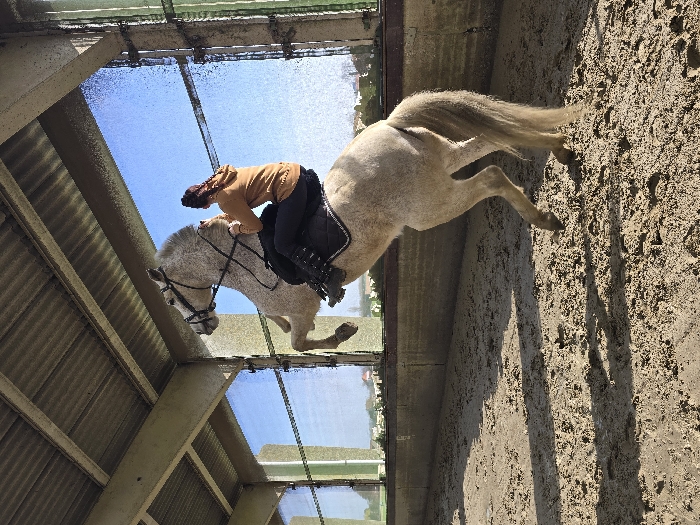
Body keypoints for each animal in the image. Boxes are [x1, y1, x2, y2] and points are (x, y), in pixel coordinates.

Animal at [148, 90, 585, 351]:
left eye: (169, 298)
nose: (204, 329)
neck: (246, 265)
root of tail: (389, 125)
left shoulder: (303, 310)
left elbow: (299, 345)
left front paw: (345, 332)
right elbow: (294, 339)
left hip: (430, 206)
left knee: (492, 175)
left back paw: (545, 219)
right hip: (444, 161)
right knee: (491, 140)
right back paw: (561, 149)